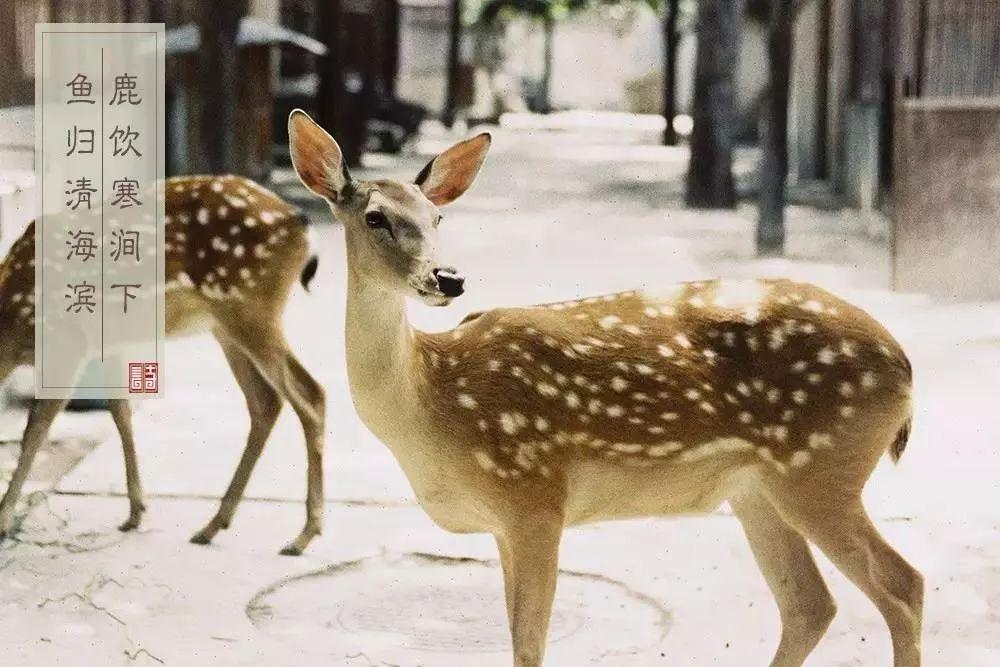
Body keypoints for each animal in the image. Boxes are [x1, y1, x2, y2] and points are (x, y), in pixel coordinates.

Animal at [0, 175, 326, 556]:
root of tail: (300, 222)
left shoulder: (66, 341)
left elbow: (36, 429)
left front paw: (3, 520)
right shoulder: (106, 345)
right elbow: (121, 412)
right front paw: (135, 511)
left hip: (251, 308)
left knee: (310, 394)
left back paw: (303, 534)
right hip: (226, 324)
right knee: (265, 401)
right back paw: (212, 525)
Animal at [288, 109, 920, 667]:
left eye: (437, 218)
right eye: (374, 217)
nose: (448, 278)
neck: (432, 398)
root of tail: (904, 365)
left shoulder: (535, 494)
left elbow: (528, 648)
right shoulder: (505, 522)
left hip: (820, 466)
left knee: (903, 585)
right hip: (758, 488)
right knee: (810, 604)